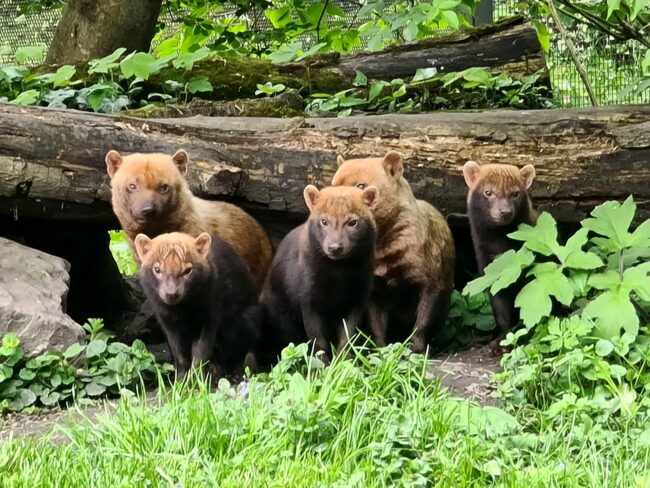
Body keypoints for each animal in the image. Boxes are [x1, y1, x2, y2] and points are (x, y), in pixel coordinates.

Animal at [135, 231, 260, 376]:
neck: (182, 311)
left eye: (187, 270)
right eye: (157, 269)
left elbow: (201, 353)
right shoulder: (168, 322)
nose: (171, 294)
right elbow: (179, 355)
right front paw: (181, 379)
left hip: (243, 321)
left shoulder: (209, 318)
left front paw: (196, 378)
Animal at [260, 185, 380, 360]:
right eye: (324, 221)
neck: (339, 275)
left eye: (352, 222)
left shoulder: (359, 297)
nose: (335, 247)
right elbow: (317, 340)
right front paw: (321, 365)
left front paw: (343, 361)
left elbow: (348, 336)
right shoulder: (308, 297)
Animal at [332, 151, 454, 352]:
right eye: (333, 185)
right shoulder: (373, 289)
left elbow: (423, 320)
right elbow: (377, 325)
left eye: (361, 185)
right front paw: (381, 349)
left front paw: (416, 349)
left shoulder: (431, 279)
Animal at [464, 160, 536, 340]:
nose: (505, 212)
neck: (501, 246)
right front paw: (502, 339)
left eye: (515, 193)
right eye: (488, 192)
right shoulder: (488, 266)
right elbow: (500, 308)